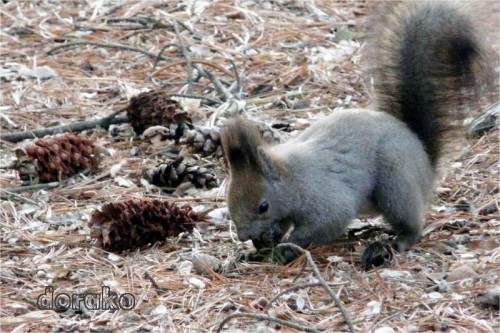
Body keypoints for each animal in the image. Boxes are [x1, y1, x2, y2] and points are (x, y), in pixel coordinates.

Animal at [222, 0, 496, 264]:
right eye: (229, 201)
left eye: (263, 206)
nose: (245, 236)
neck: (292, 177)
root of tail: (424, 159)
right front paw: (259, 249)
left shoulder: (325, 197)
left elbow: (325, 222)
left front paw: (287, 248)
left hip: (396, 182)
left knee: (410, 225)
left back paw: (393, 243)